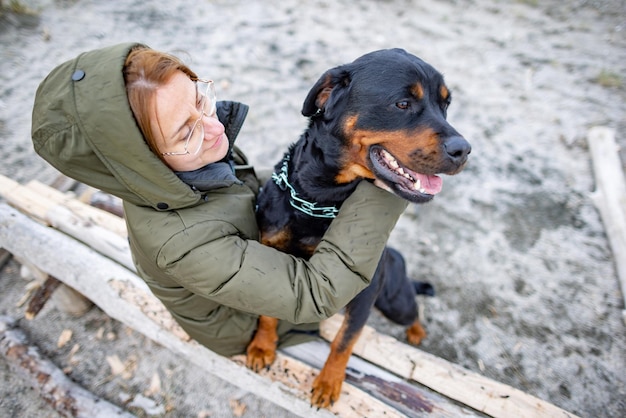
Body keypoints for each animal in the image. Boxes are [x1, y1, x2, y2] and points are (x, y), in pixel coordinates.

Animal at [244, 49, 468, 408]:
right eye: (402, 104)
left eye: (445, 105)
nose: (464, 150)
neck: (320, 198)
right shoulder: (269, 260)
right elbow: (268, 311)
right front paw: (262, 347)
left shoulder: (364, 291)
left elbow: (344, 339)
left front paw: (328, 383)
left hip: (394, 300)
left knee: (413, 309)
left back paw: (416, 333)